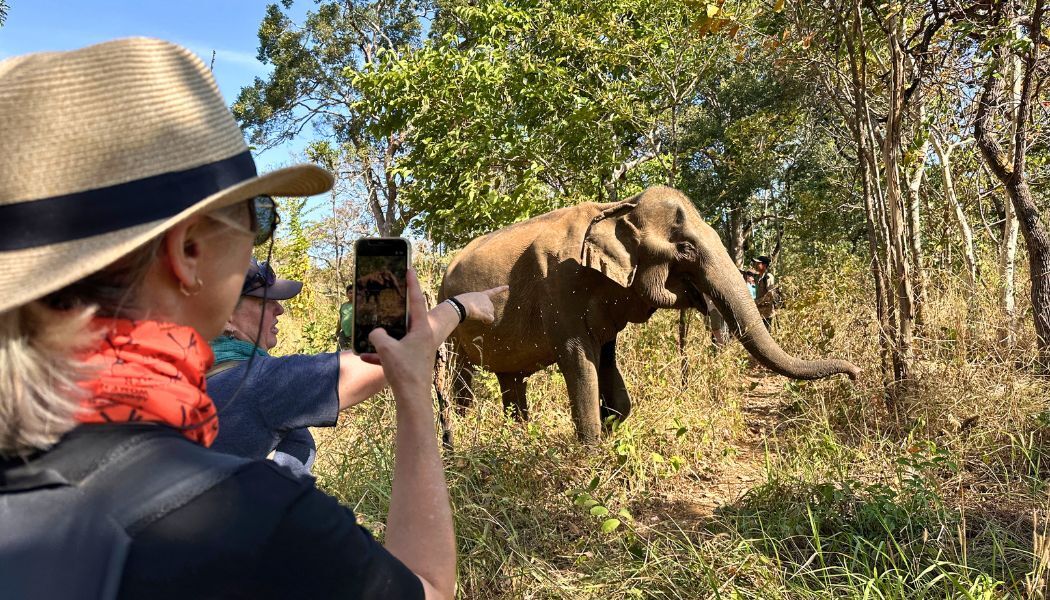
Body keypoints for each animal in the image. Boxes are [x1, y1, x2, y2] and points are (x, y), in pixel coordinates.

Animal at [438, 185, 860, 443]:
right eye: (686, 249)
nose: (855, 373)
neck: (613, 210)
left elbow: (606, 361)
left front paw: (612, 427)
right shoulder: (559, 285)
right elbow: (578, 359)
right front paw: (592, 452)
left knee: (511, 381)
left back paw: (520, 436)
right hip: (453, 325)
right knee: (462, 380)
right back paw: (466, 432)